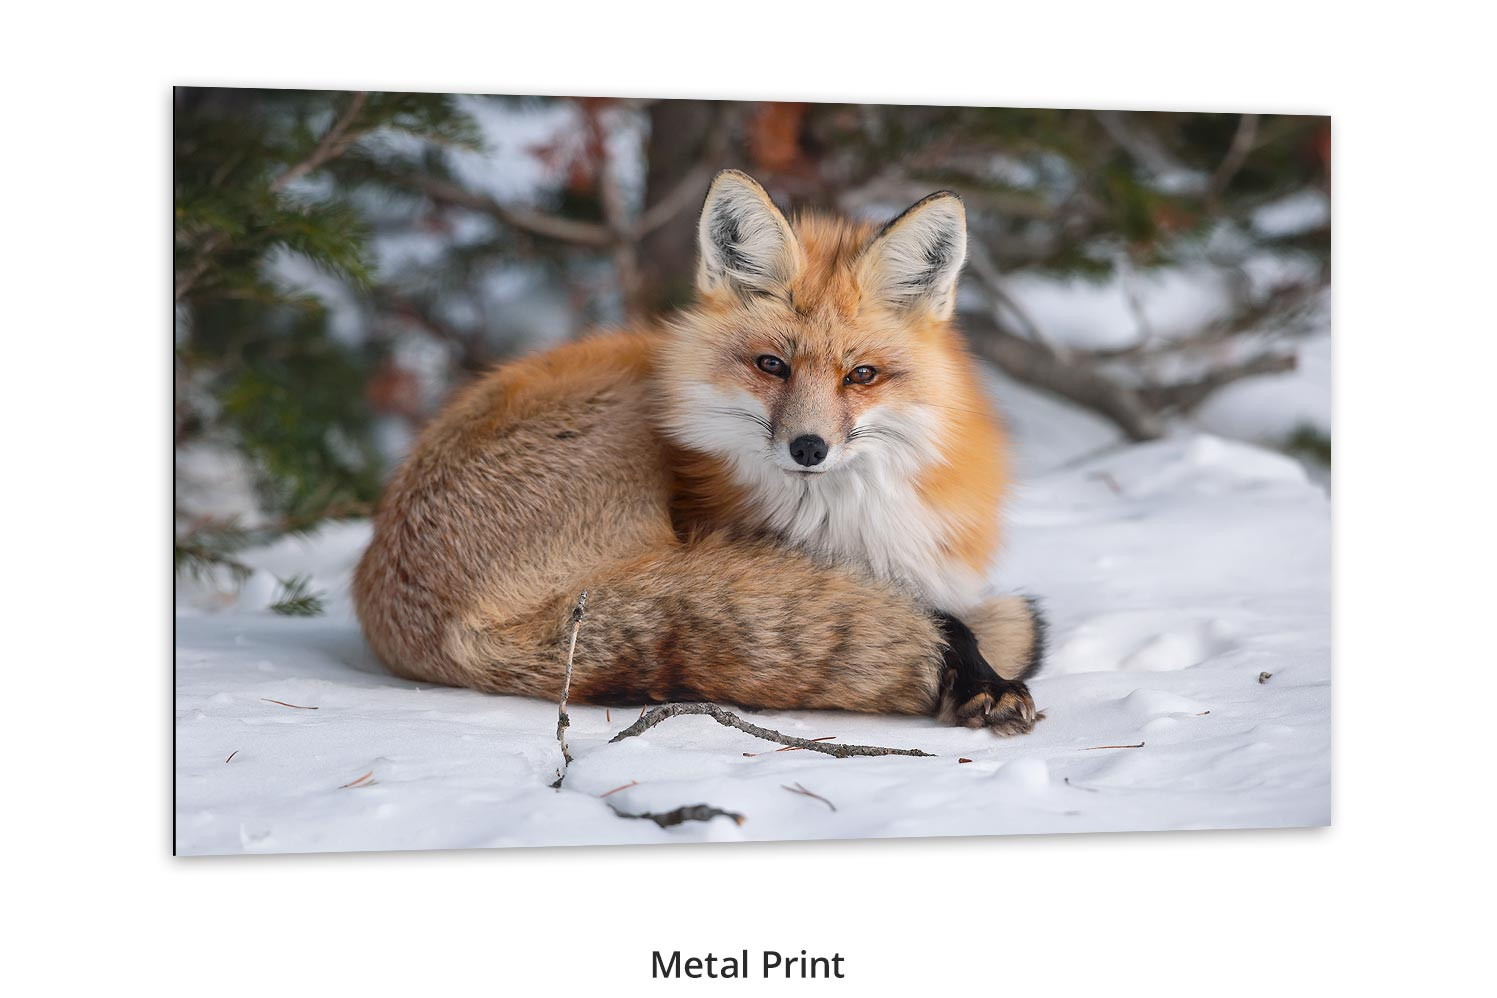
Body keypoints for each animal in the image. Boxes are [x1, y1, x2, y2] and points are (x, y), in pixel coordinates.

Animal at [353, 169, 1046, 735]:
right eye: (772, 365)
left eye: (862, 376)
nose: (808, 448)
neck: (844, 521)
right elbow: (942, 617)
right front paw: (982, 675)